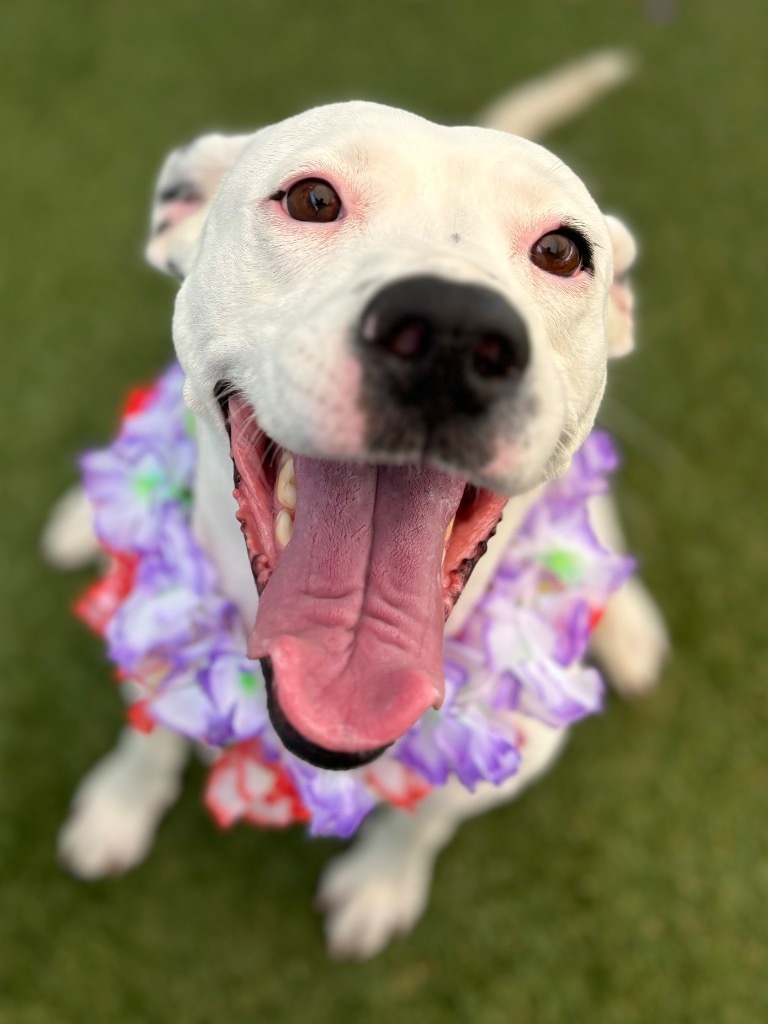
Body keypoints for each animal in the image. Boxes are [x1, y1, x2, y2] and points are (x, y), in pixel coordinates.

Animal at [43, 51, 667, 954]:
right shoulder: (148, 620)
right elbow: (149, 726)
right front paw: (120, 807)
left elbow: (426, 819)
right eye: (312, 199)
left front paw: (381, 883)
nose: (452, 331)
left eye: (560, 250)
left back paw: (629, 626)